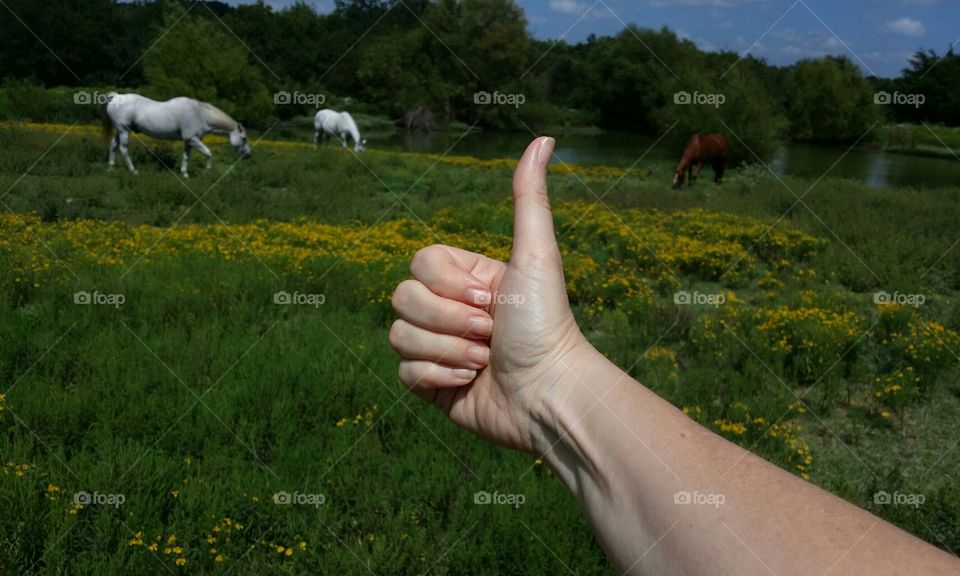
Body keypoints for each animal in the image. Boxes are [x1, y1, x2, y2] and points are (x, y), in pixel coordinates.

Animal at [101, 92, 251, 177]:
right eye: (244, 138)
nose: (249, 155)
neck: (200, 113)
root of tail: (115, 97)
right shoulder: (193, 139)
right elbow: (208, 153)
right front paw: (208, 170)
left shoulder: (190, 141)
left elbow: (186, 156)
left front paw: (185, 174)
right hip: (124, 131)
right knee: (123, 149)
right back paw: (133, 171)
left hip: (120, 131)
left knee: (113, 146)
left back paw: (110, 168)